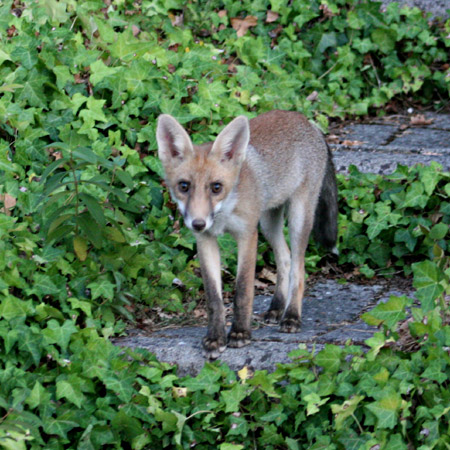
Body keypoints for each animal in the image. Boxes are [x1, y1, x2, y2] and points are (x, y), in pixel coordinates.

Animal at [156, 110, 336, 360]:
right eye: (184, 186)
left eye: (216, 187)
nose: (198, 223)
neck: (224, 213)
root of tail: (306, 121)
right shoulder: (205, 241)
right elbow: (214, 298)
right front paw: (215, 338)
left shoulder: (247, 235)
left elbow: (242, 290)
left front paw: (240, 333)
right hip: (269, 222)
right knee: (285, 260)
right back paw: (276, 308)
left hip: (298, 217)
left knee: (298, 269)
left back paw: (291, 316)